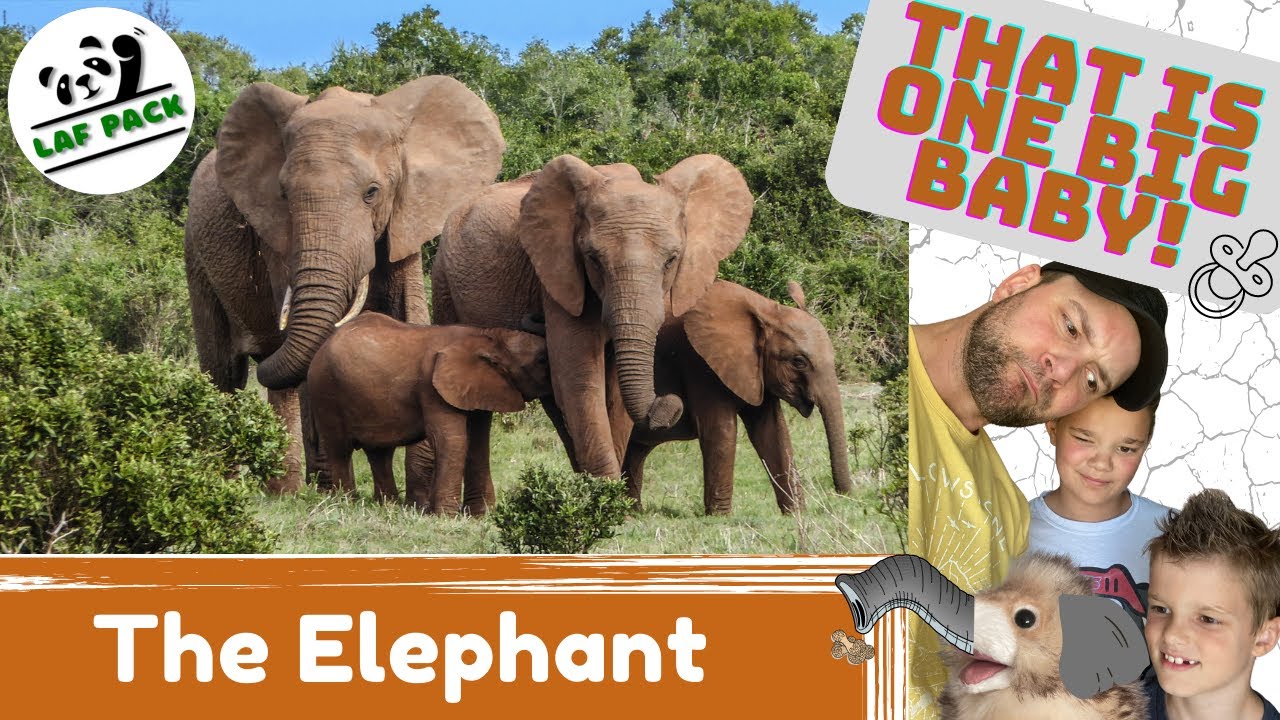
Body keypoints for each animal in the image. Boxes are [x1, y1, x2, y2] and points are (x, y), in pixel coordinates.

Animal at [184, 76, 504, 492]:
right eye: (283, 195)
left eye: (372, 192)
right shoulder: (277, 237)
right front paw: (333, 489)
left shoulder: (406, 217)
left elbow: (410, 314)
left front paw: (419, 492)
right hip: (195, 253)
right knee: (224, 373)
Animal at [306, 313, 551, 515]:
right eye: (541, 360)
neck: (487, 337)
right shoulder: (431, 387)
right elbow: (452, 440)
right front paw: (445, 516)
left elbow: (478, 442)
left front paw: (482, 515)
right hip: (324, 391)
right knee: (340, 449)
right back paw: (346, 503)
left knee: (379, 453)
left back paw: (387, 506)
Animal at [431, 154, 754, 480]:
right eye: (593, 259)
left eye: (671, 260)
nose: (671, 403)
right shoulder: (560, 275)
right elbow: (580, 377)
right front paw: (606, 491)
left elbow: (613, 394)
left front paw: (608, 491)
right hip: (443, 280)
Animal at [623, 280, 853, 515]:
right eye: (799, 362)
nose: (843, 494)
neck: (767, 310)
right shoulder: (699, 363)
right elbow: (721, 431)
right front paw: (720, 517)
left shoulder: (756, 372)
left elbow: (773, 431)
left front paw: (797, 514)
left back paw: (633, 511)